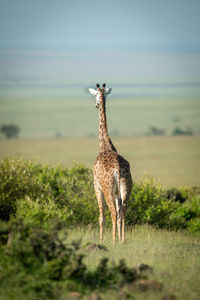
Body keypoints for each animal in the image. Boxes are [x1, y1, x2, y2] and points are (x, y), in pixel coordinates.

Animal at [88, 83, 132, 243]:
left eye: (95, 95)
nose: (96, 104)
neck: (105, 145)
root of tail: (118, 169)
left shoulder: (96, 185)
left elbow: (101, 217)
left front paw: (101, 240)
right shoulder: (117, 191)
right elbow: (119, 213)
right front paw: (119, 238)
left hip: (107, 189)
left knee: (113, 212)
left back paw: (113, 241)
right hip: (126, 187)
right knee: (123, 210)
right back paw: (122, 240)